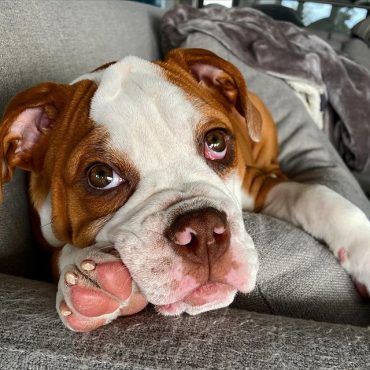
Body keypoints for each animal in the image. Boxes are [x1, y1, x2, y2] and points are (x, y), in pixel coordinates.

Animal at [0, 49, 370, 332]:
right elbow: (60, 252)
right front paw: (90, 280)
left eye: (217, 142)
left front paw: (363, 250)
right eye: (101, 176)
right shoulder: (43, 242)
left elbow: (313, 195)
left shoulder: (257, 184)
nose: (203, 229)